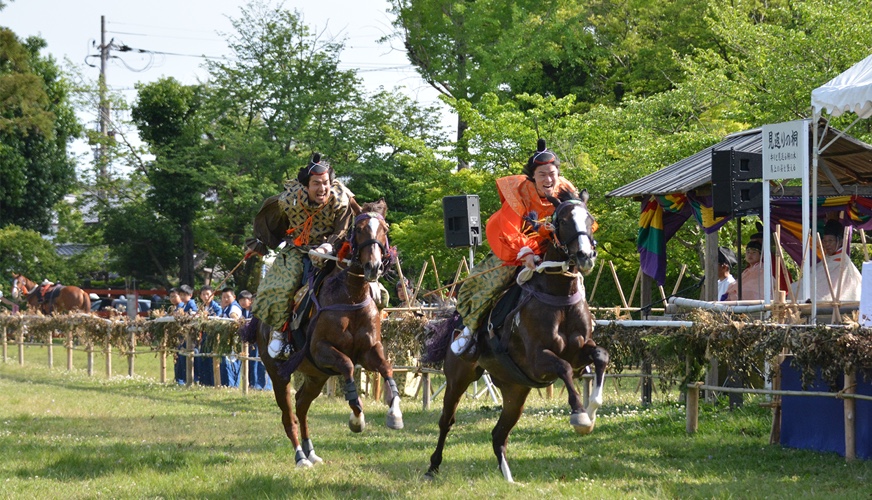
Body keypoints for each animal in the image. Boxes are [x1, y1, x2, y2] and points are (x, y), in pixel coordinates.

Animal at [422, 189, 608, 482]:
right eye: (564, 220)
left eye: (590, 219)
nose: (585, 256)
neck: (559, 296)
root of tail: (454, 323)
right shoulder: (538, 359)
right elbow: (563, 367)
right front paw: (579, 415)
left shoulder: (580, 353)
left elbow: (600, 355)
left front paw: (591, 409)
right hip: (458, 378)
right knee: (446, 421)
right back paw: (433, 467)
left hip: (515, 390)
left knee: (499, 434)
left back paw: (509, 479)